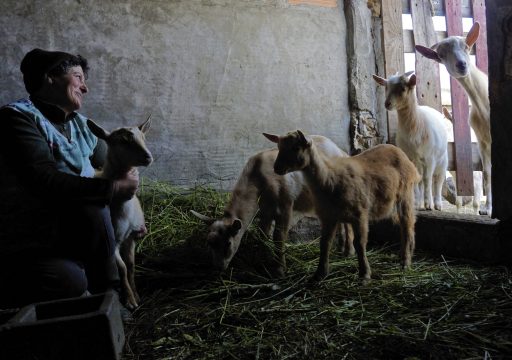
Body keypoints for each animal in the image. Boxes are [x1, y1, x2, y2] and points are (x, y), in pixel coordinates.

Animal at [87, 117, 152, 310]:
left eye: (143, 137)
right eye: (123, 141)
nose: (148, 157)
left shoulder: (131, 237)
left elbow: (130, 265)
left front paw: (136, 294)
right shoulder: (113, 241)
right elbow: (122, 269)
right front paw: (130, 300)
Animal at [190, 135, 354, 278]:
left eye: (228, 243)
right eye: (209, 243)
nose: (218, 268)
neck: (257, 180)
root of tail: (341, 151)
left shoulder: (286, 206)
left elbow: (278, 237)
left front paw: (279, 270)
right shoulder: (265, 210)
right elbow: (262, 234)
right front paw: (264, 260)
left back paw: (348, 251)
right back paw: (340, 248)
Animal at [266, 129, 418, 282]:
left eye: (296, 147)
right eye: (279, 147)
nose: (276, 168)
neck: (328, 179)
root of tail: (398, 151)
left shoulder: (360, 213)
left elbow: (359, 243)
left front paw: (364, 274)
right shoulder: (328, 216)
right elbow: (325, 243)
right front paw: (320, 274)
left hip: (405, 193)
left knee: (407, 225)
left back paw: (405, 262)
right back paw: (404, 255)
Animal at [372, 71, 448, 211]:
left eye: (403, 88)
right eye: (386, 87)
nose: (387, 104)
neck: (416, 126)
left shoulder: (430, 158)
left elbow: (428, 179)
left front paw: (429, 204)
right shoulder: (410, 157)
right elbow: (417, 180)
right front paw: (417, 204)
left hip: (442, 159)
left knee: (438, 180)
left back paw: (437, 203)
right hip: (419, 161)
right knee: (422, 179)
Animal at [416, 21, 492, 215]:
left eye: (466, 46)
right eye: (441, 55)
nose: (462, 65)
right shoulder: (483, 141)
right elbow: (488, 173)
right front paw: (487, 209)